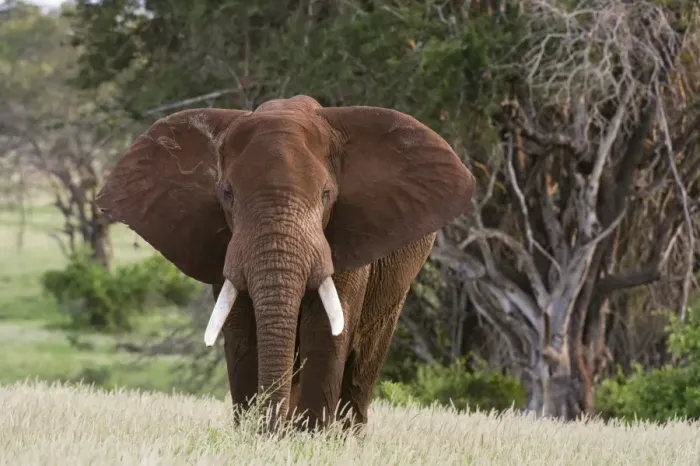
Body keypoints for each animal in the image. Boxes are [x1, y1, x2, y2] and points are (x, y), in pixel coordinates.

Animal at [96, 95, 475, 431]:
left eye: (326, 195)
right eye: (227, 194)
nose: (271, 427)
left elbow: (324, 333)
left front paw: (309, 440)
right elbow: (242, 333)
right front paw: (258, 437)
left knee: (363, 363)